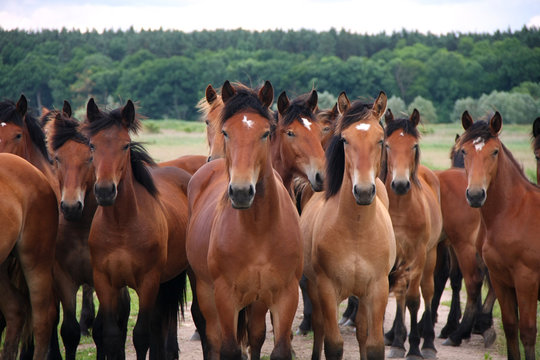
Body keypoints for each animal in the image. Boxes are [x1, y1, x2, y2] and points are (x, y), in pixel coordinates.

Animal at [83, 98, 191, 360]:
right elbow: (112, 336)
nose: (105, 191)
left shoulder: (148, 282)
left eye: (125, 146)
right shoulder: (105, 283)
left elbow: (141, 336)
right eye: (92, 145)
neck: (121, 225)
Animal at [186, 80, 304, 358]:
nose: (241, 191)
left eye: (265, 133)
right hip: (206, 293)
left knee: (256, 336)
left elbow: (276, 347)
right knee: (212, 338)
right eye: (226, 132)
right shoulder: (226, 297)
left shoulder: (285, 295)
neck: (258, 228)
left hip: (258, 301)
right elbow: (229, 349)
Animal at [302, 91, 394, 358]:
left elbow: (373, 345)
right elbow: (333, 344)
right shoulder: (326, 288)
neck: (357, 231)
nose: (363, 191)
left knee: (362, 330)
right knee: (319, 328)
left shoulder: (377, 289)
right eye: (344, 139)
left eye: (380, 140)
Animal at [456, 112, 540, 360]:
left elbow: (527, 332)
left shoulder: (527, 280)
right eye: (464, 151)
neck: (512, 212)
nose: (475, 195)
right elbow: (511, 327)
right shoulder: (500, 279)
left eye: (494, 151)